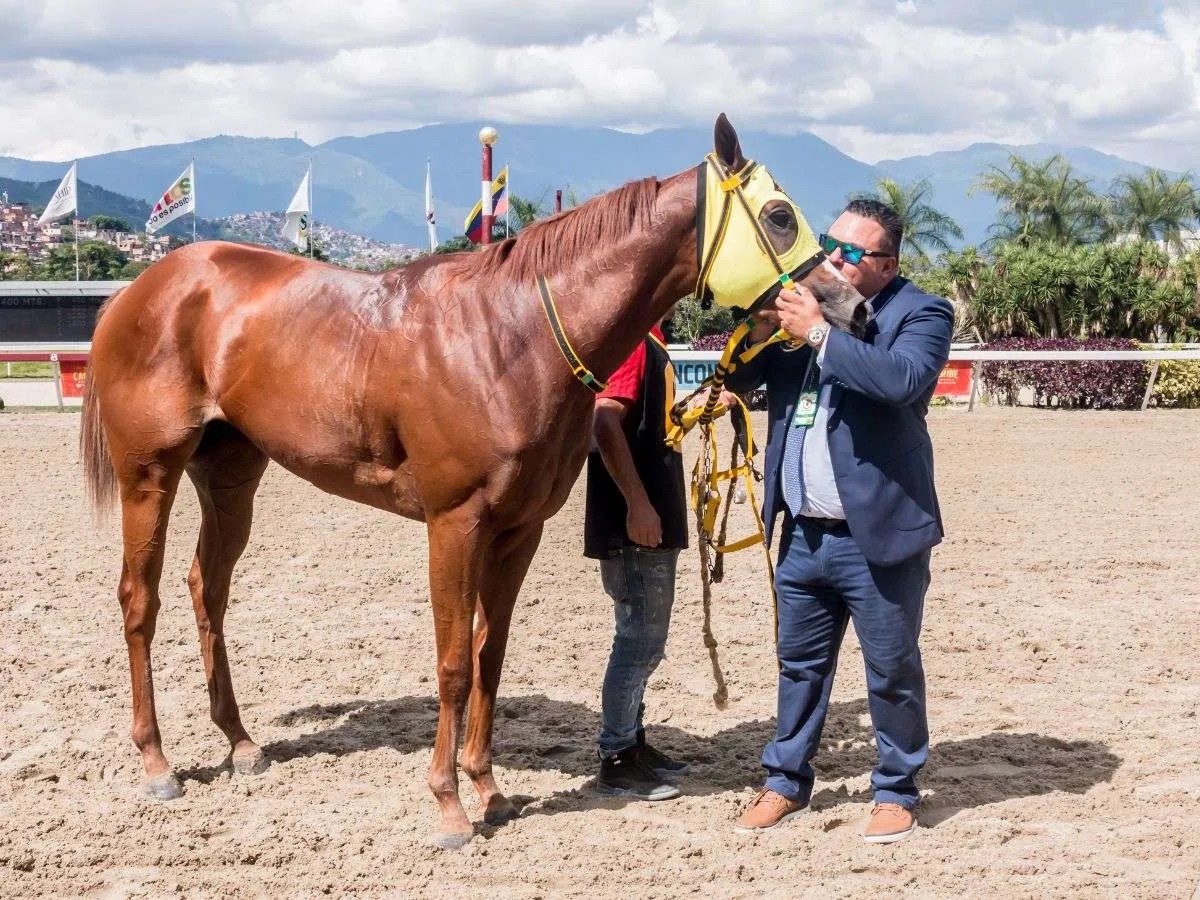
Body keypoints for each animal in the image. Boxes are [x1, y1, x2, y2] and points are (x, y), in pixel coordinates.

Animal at [82, 116, 864, 849]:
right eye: (780, 215)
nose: (851, 308)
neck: (509, 335)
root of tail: (142, 291)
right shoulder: (453, 524)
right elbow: (455, 661)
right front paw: (449, 805)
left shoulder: (519, 530)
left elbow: (492, 652)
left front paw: (488, 788)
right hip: (149, 474)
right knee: (139, 599)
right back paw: (157, 763)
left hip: (231, 474)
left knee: (206, 589)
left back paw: (241, 743)